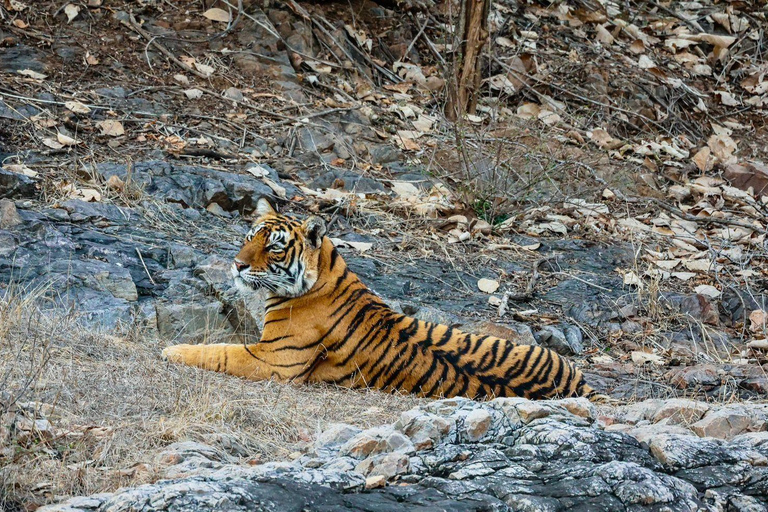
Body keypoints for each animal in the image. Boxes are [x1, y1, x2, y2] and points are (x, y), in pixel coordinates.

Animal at [162, 197, 603, 401]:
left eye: (273, 247)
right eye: (248, 237)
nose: (236, 265)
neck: (323, 273)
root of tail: (585, 390)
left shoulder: (273, 360)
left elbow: (217, 351)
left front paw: (170, 350)